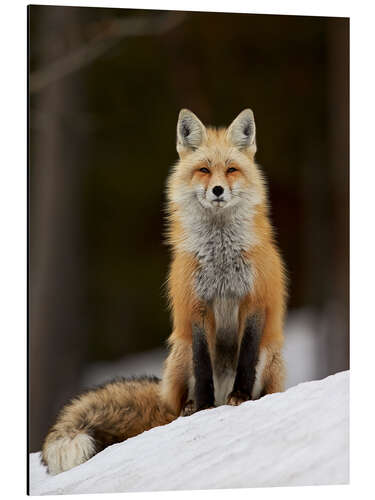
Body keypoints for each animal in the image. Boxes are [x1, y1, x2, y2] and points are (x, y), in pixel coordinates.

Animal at [41, 107, 286, 474]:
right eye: (203, 170)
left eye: (231, 169)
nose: (217, 190)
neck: (220, 257)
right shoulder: (195, 308)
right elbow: (202, 366)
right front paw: (204, 408)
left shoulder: (254, 301)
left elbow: (245, 358)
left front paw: (241, 398)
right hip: (178, 354)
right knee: (179, 400)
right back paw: (189, 408)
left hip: (270, 355)